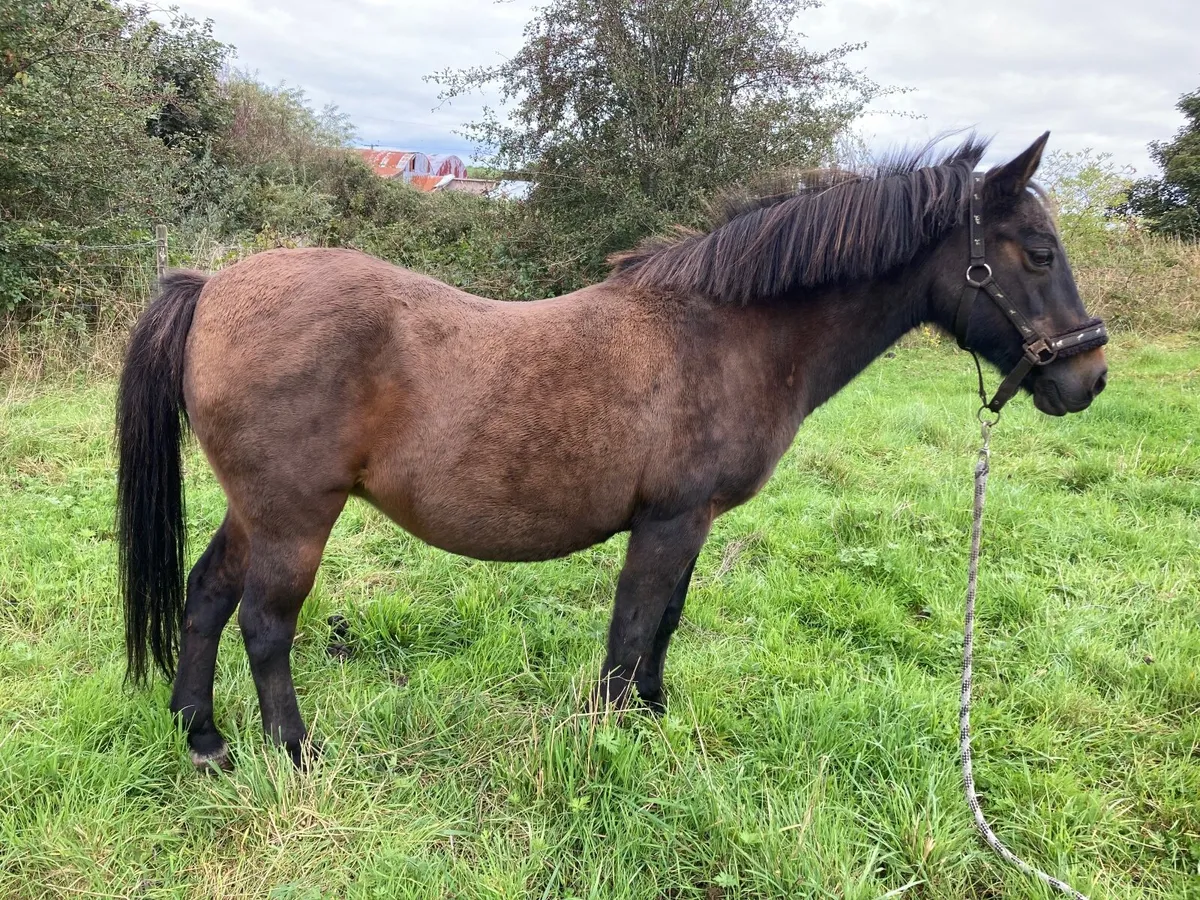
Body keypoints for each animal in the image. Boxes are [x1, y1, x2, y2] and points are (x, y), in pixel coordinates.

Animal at [116, 133, 1109, 770]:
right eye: (1037, 250)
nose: (1089, 374)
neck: (728, 333)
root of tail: (211, 288)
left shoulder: (690, 523)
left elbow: (662, 625)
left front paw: (654, 718)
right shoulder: (667, 522)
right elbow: (631, 634)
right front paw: (613, 738)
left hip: (255, 510)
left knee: (206, 598)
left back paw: (203, 740)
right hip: (295, 515)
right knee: (264, 622)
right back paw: (293, 751)